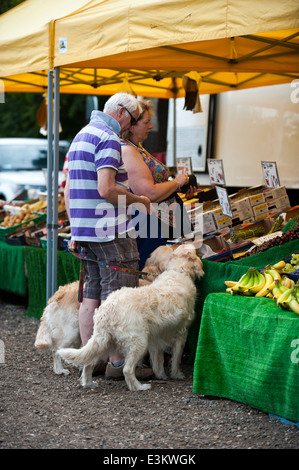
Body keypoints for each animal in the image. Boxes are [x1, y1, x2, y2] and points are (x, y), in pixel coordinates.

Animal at [59, 244, 204, 392]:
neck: (179, 271)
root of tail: (108, 308)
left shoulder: (157, 338)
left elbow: (158, 360)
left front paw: (161, 375)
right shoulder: (181, 333)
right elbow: (176, 358)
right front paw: (177, 374)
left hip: (104, 342)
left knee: (88, 364)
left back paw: (89, 383)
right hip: (138, 342)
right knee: (127, 370)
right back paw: (139, 387)